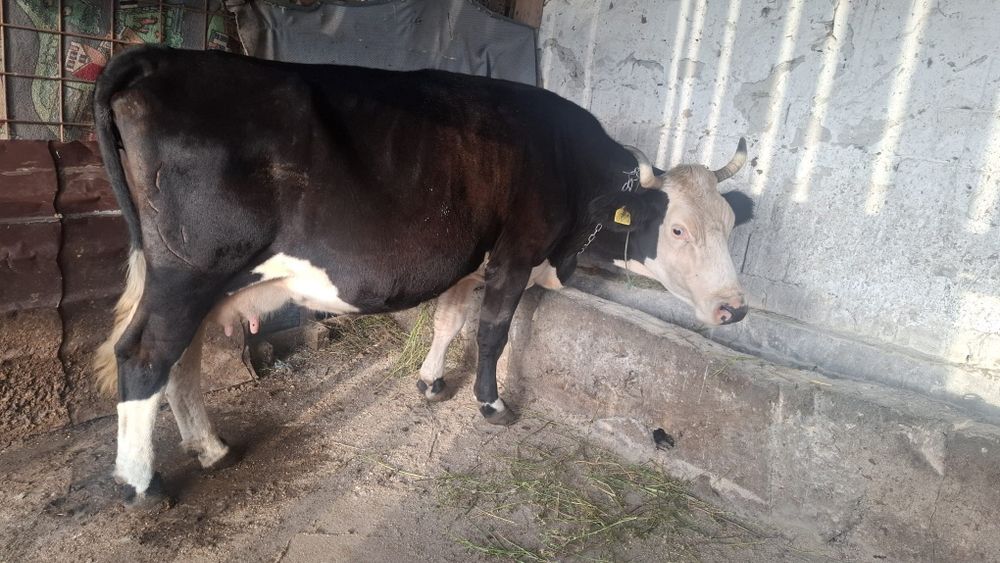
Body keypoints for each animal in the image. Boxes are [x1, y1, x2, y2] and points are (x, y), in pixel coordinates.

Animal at [92, 45, 750, 509]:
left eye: (727, 224)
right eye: (677, 230)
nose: (734, 307)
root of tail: (158, 56)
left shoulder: (468, 259)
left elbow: (449, 321)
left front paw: (431, 384)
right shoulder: (515, 253)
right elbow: (493, 332)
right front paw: (490, 404)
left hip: (194, 282)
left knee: (181, 360)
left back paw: (211, 449)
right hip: (189, 273)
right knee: (145, 356)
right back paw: (141, 487)